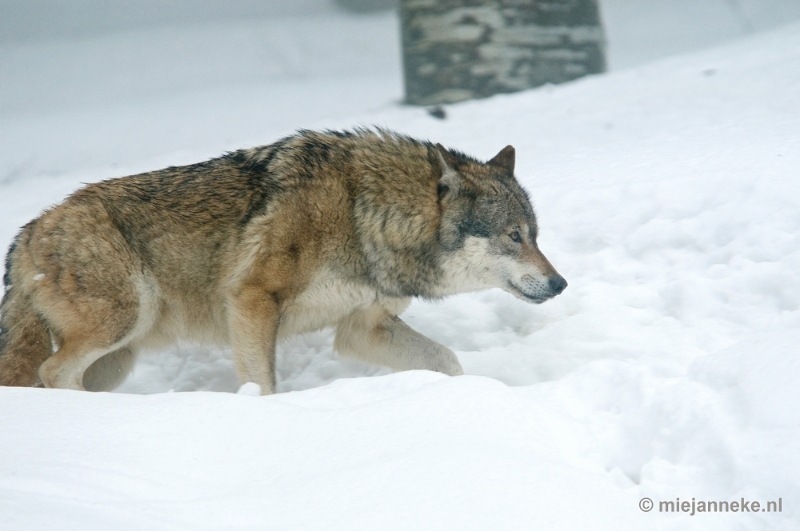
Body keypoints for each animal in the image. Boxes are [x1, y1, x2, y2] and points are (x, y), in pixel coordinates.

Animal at [0, 129, 564, 394]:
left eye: (536, 236)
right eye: (514, 237)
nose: (559, 284)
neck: (362, 212)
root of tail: (28, 231)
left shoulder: (363, 327)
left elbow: (447, 360)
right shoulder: (253, 301)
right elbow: (264, 384)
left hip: (117, 358)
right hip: (118, 325)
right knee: (52, 372)